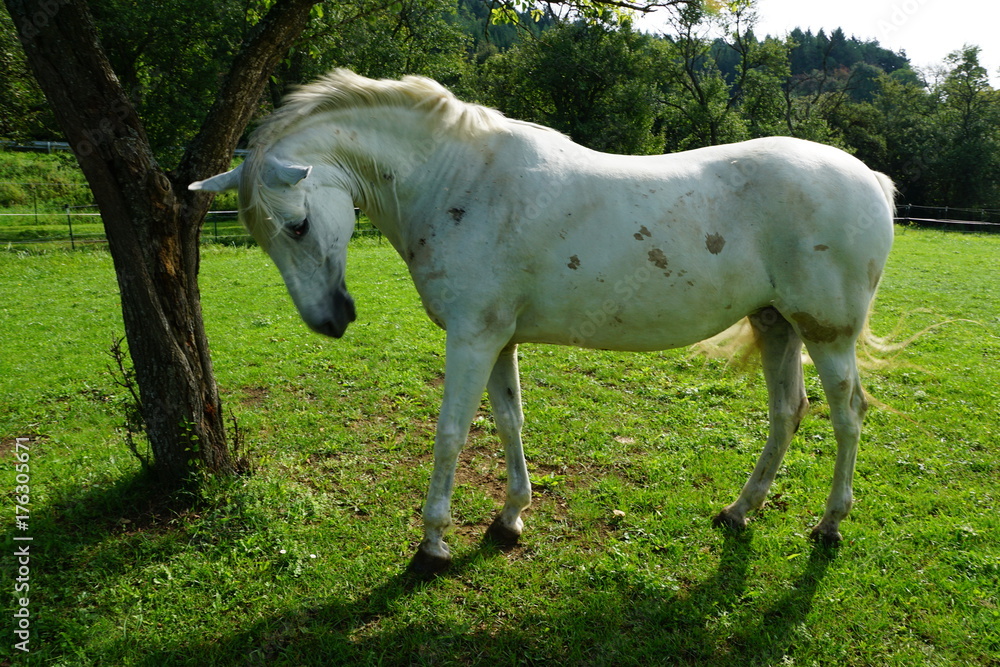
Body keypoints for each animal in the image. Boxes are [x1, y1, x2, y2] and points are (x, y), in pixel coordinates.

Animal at [191, 69, 895, 574]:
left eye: (298, 224)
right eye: (265, 236)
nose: (330, 320)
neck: (458, 182)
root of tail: (872, 178)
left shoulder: (471, 337)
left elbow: (450, 433)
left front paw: (433, 544)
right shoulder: (498, 339)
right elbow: (509, 421)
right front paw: (509, 519)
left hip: (826, 333)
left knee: (847, 415)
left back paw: (830, 522)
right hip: (776, 324)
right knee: (787, 413)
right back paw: (739, 511)